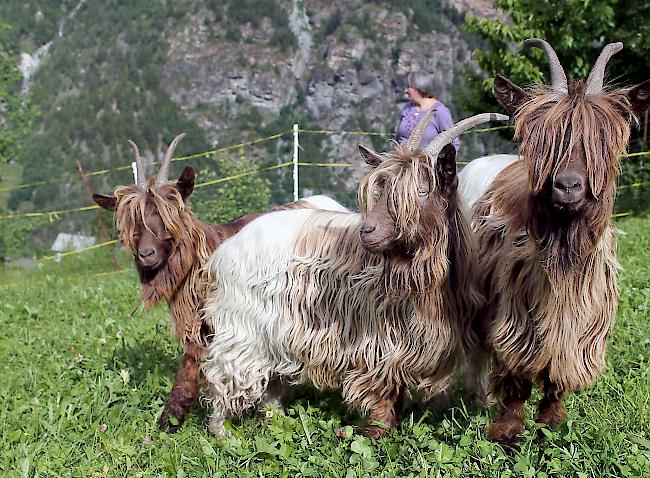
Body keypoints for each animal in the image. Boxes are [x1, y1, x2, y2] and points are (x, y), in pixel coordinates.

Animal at [197, 111, 506, 436]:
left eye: (421, 192)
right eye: (378, 192)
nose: (367, 231)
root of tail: (224, 250)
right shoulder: (379, 344)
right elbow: (382, 394)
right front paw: (377, 434)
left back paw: (276, 418)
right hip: (242, 330)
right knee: (224, 377)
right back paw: (221, 432)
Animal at [456, 39, 648, 446]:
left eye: (600, 140)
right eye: (542, 139)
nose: (567, 185)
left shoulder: (580, 324)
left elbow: (556, 373)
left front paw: (551, 423)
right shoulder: (514, 311)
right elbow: (514, 371)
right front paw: (508, 430)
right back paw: (478, 396)